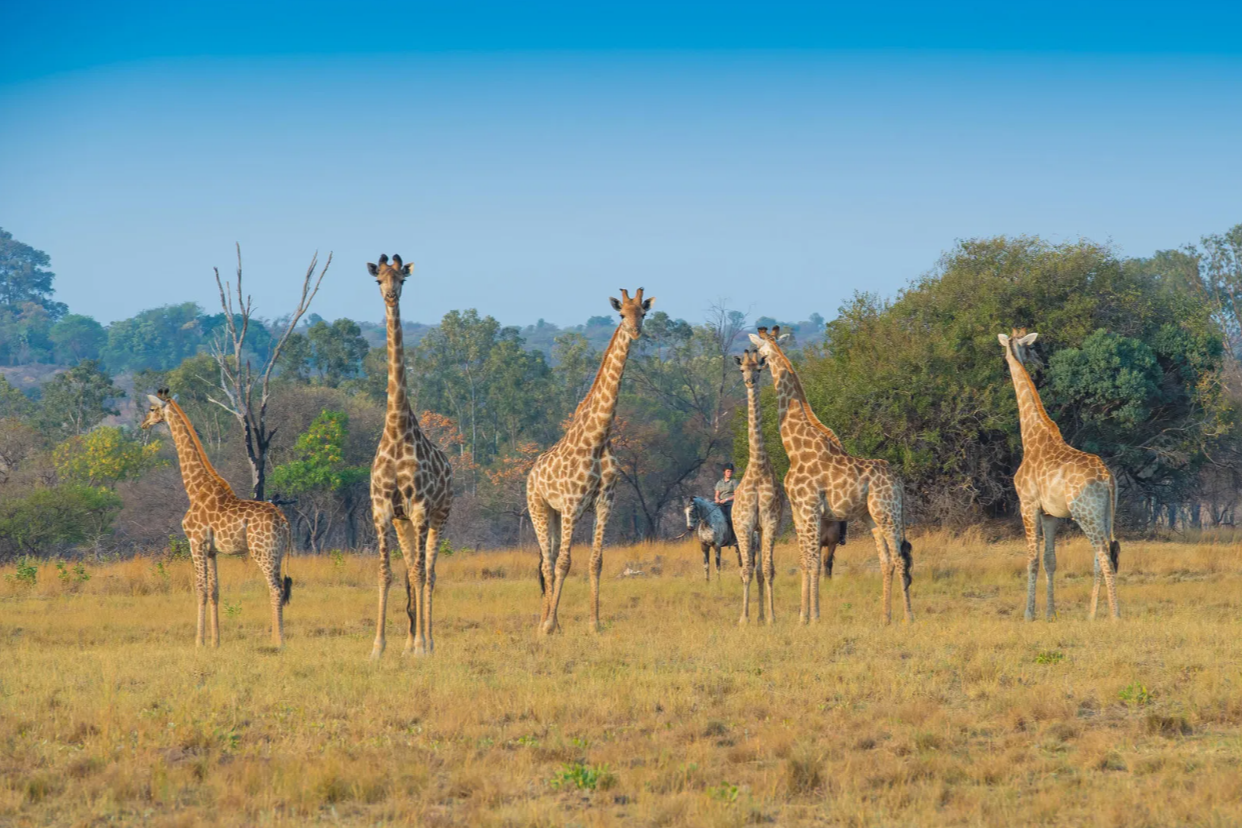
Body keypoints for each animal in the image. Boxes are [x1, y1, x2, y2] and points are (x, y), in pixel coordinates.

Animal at [140, 389, 292, 648]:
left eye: (151, 409)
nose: (143, 424)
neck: (195, 488)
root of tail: (283, 520)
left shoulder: (196, 542)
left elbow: (200, 589)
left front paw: (198, 642)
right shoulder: (212, 551)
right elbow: (215, 591)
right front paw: (215, 641)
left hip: (262, 550)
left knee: (275, 589)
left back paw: (278, 641)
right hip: (277, 552)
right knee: (280, 586)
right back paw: (275, 637)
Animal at [526, 287, 653, 635]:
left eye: (643, 313)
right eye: (621, 313)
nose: (635, 330)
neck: (598, 438)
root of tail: (531, 474)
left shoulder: (605, 501)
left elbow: (596, 561)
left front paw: (595, 623)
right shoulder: (572, 504)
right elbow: (565, 563)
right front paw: (550, 626)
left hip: (554, 514)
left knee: (547, 560)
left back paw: (550, 619)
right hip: (539, 508)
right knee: (549, 562)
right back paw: (545, 624)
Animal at [749, 327, 913, 625]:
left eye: (759, 350)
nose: (757, 363)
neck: (795, 448)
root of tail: (899, 483)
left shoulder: (811, 508)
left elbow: (815, 561)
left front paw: (813, 616)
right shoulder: (799, 511)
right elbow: (805, 561)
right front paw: (802, 616)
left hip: (887, 513)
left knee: (899, 557)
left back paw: (908, 616)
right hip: (871, 516)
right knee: (885, 560)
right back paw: (885, 618)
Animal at [998, 329, 1121, 621]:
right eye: (1033, 348)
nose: (1040, 362)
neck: (1031, 435)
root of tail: (1107, 478)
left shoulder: (1028, 505)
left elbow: (1032, 559)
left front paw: (1029, 614)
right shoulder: (1050, 514)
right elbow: (1050, 561)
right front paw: (1050, 614)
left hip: (1085, 513)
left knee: (1104, 555)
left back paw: (1115, 615)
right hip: (1105, 513)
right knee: (1101, 556)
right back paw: (1091, 615)